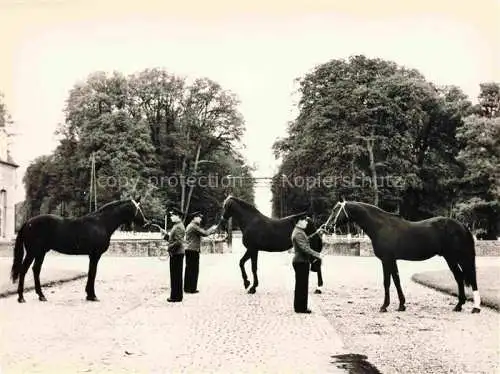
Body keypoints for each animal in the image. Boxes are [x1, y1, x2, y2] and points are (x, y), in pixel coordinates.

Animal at [10, 197, 147, 302]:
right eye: (138, 208)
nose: (146, 222)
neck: (101, 223)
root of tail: (28, 222)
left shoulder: (92, 255)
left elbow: (91, 272)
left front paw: (89, 295)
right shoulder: (95, 255)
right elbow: (93, 273)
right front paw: (92, 296)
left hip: (41, 252)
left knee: (36, 270)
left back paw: (41, 296)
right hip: (32, 252)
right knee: (24, 270)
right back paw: (21, 298)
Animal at [324, 202, 480, 312]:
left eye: (335, 211)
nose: (326, 227)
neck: (381, 227)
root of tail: (462, 226)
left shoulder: (387, 259)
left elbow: (387, 282)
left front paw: (384, 306)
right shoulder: (391, 260)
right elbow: (396, 280)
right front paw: (401, 305)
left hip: (459, 257)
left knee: (470, 278)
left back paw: (475, 308)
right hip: (451, 258)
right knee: (459, 277)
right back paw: (459, 305)